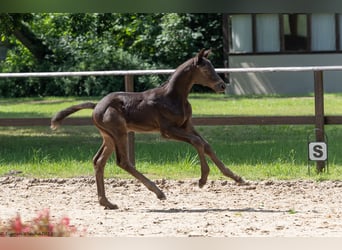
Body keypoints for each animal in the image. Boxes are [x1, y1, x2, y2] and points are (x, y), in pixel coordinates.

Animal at [50, 48, 244, 209]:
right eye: (205, 70)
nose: (222, 86)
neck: (173, 97)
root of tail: (97, 106)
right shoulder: (167, 130)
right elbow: (197, 142)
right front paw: (203, 178)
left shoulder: (187, 125)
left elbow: (206, 145)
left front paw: (236, 177)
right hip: (119, 132)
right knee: (123, 162)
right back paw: (158, 192)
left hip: (109, 137)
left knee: (98, 161)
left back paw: (106, 202)